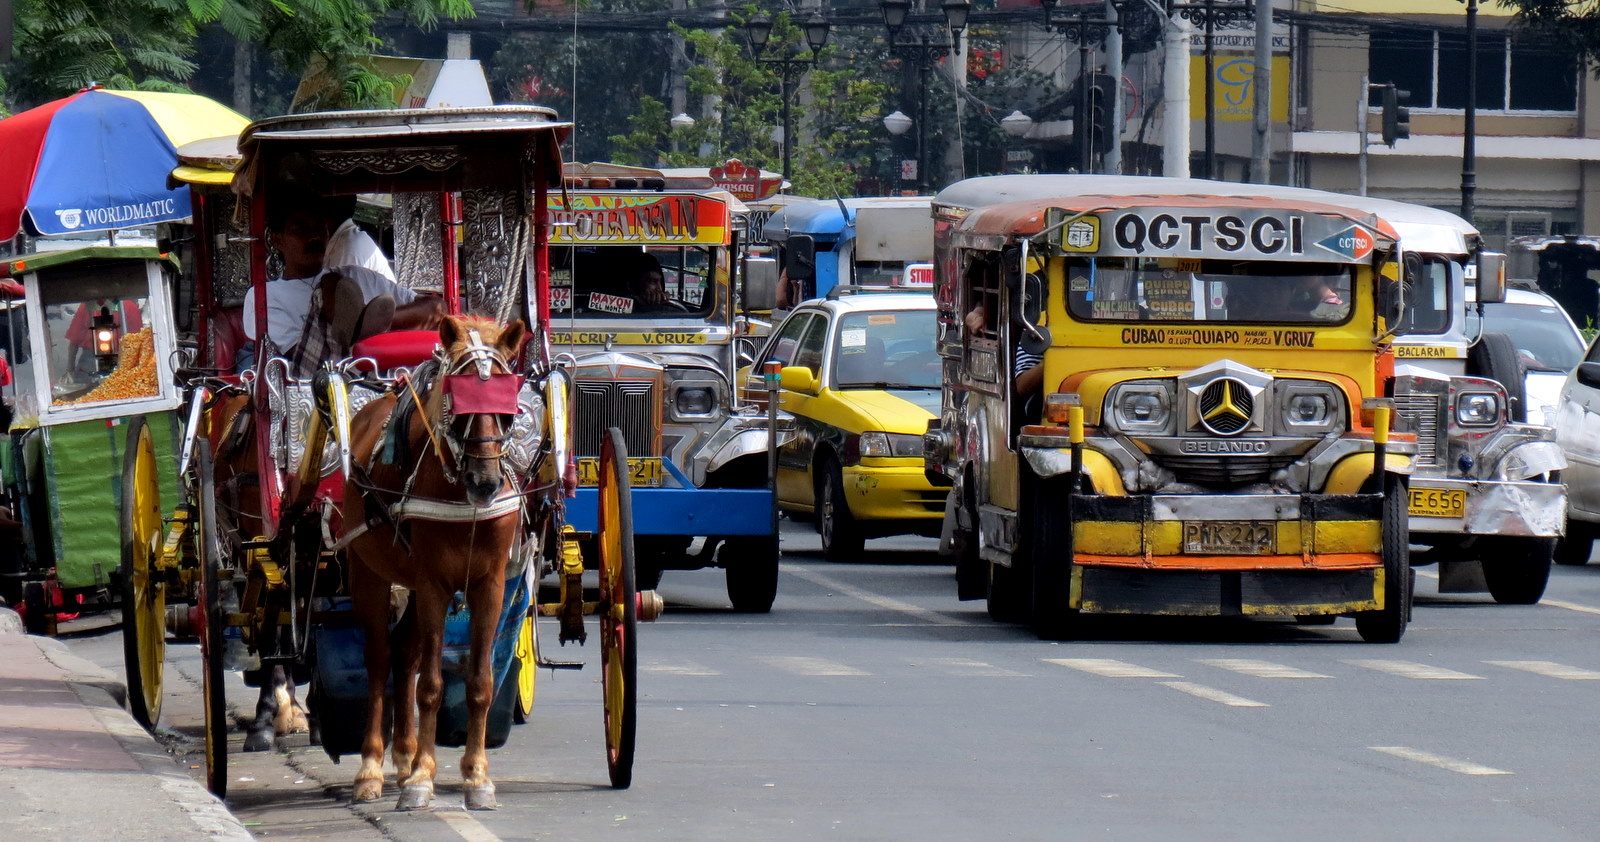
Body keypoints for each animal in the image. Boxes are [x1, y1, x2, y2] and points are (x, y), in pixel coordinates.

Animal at [347, 315, 528, 813]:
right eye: (456, 402)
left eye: (508, 406)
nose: (485, 482)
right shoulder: (432, 585)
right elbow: (430, 685)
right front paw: (423, 779)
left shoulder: (488, 584)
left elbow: (480, 681)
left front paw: (476, 775)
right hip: (368, 573)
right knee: (379, 658)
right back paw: (372, 767)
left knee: (404, 655)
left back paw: (404, 756)